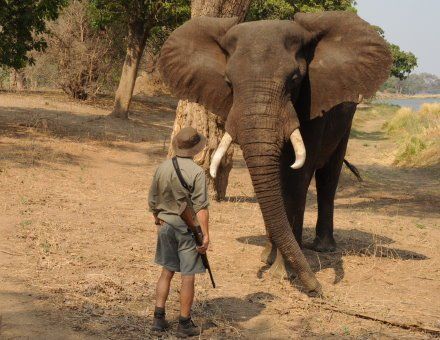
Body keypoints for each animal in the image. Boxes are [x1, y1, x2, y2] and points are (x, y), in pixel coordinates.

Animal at [158, 9, 392, 292]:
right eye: (228, 82)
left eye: (295, 80)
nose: (317, 287)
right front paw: (270, 261)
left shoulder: (313, 99)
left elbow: (297, 178)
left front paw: (282, 273)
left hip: (347, 116)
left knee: (328, 177)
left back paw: (322, 248)